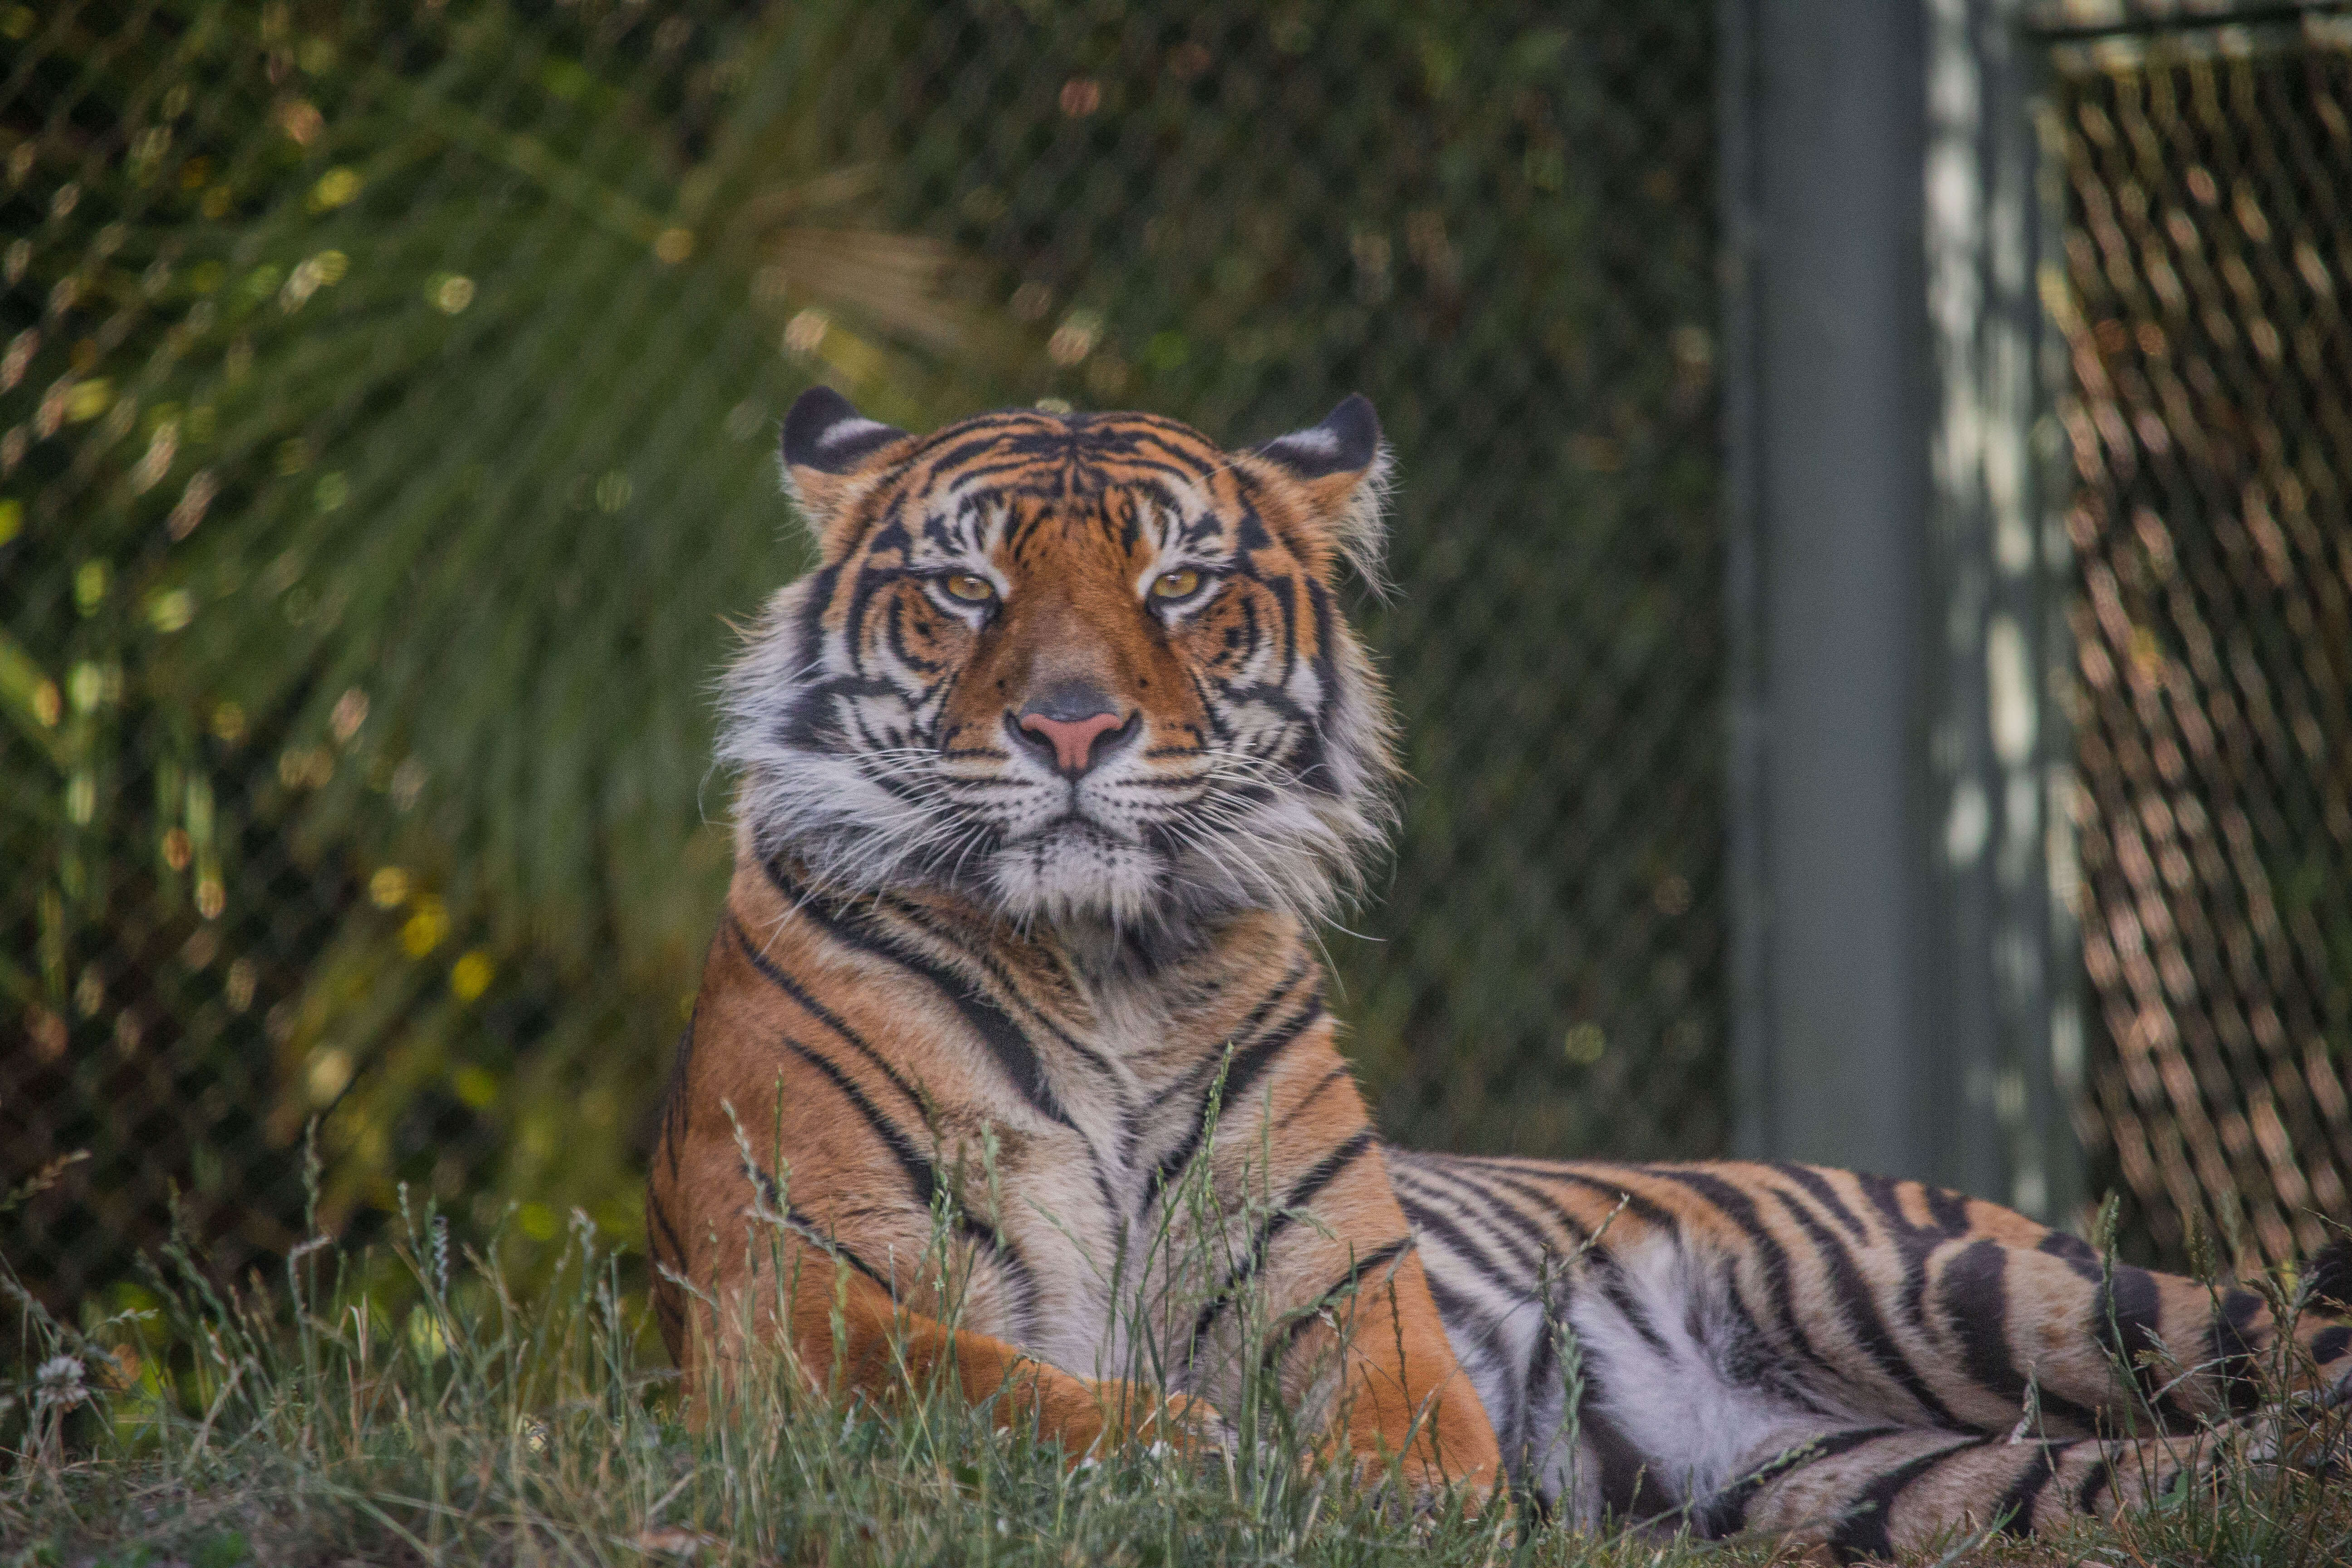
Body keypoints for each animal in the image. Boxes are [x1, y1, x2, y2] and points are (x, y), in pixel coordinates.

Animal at [649, 385, 2352, 1551]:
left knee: (2280, 1352)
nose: (1072, 728)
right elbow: (986, 1386)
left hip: (1974, 1287)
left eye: (1177, 586)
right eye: (967, 588)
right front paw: (1194, 1457)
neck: (1103, 968)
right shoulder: (798, 1292)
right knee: (2198, 1478)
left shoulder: (1343, 1290)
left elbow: (1394, 1431)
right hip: (1915, 1485)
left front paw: (1359, 1495)